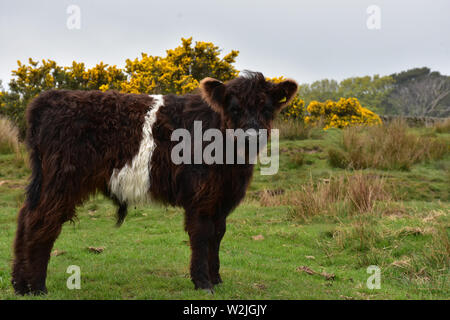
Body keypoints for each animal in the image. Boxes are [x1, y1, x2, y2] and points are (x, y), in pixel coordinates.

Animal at [10, 70, 298, 296]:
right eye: (235, 108)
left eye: (267, 109)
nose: (251, 136)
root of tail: (51, 98)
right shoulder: (201, 196)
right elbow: (202, 234)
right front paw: (203, 283)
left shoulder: (222, 197)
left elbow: (217, 235)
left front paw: (216, 279)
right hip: (61, 181)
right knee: (41, 222)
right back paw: (37, 287)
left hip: (46, 181)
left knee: (26, 218)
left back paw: (18, 284)